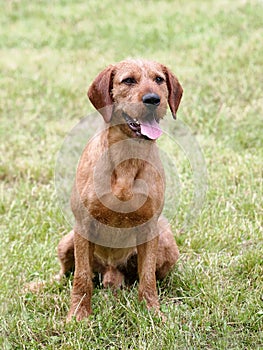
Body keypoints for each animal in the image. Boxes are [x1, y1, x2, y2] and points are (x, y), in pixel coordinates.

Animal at [58, 58, 184, 322]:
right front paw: (78, 315)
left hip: (167, 244)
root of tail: (110, 272)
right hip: (67, 242)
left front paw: (152, 313)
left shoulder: (149, 228)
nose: (153, 99)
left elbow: (148, 278)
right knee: (65, 274)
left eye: (159, 79)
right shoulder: (83, 225)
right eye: (128, 80)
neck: (127, 159)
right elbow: (81, 278)